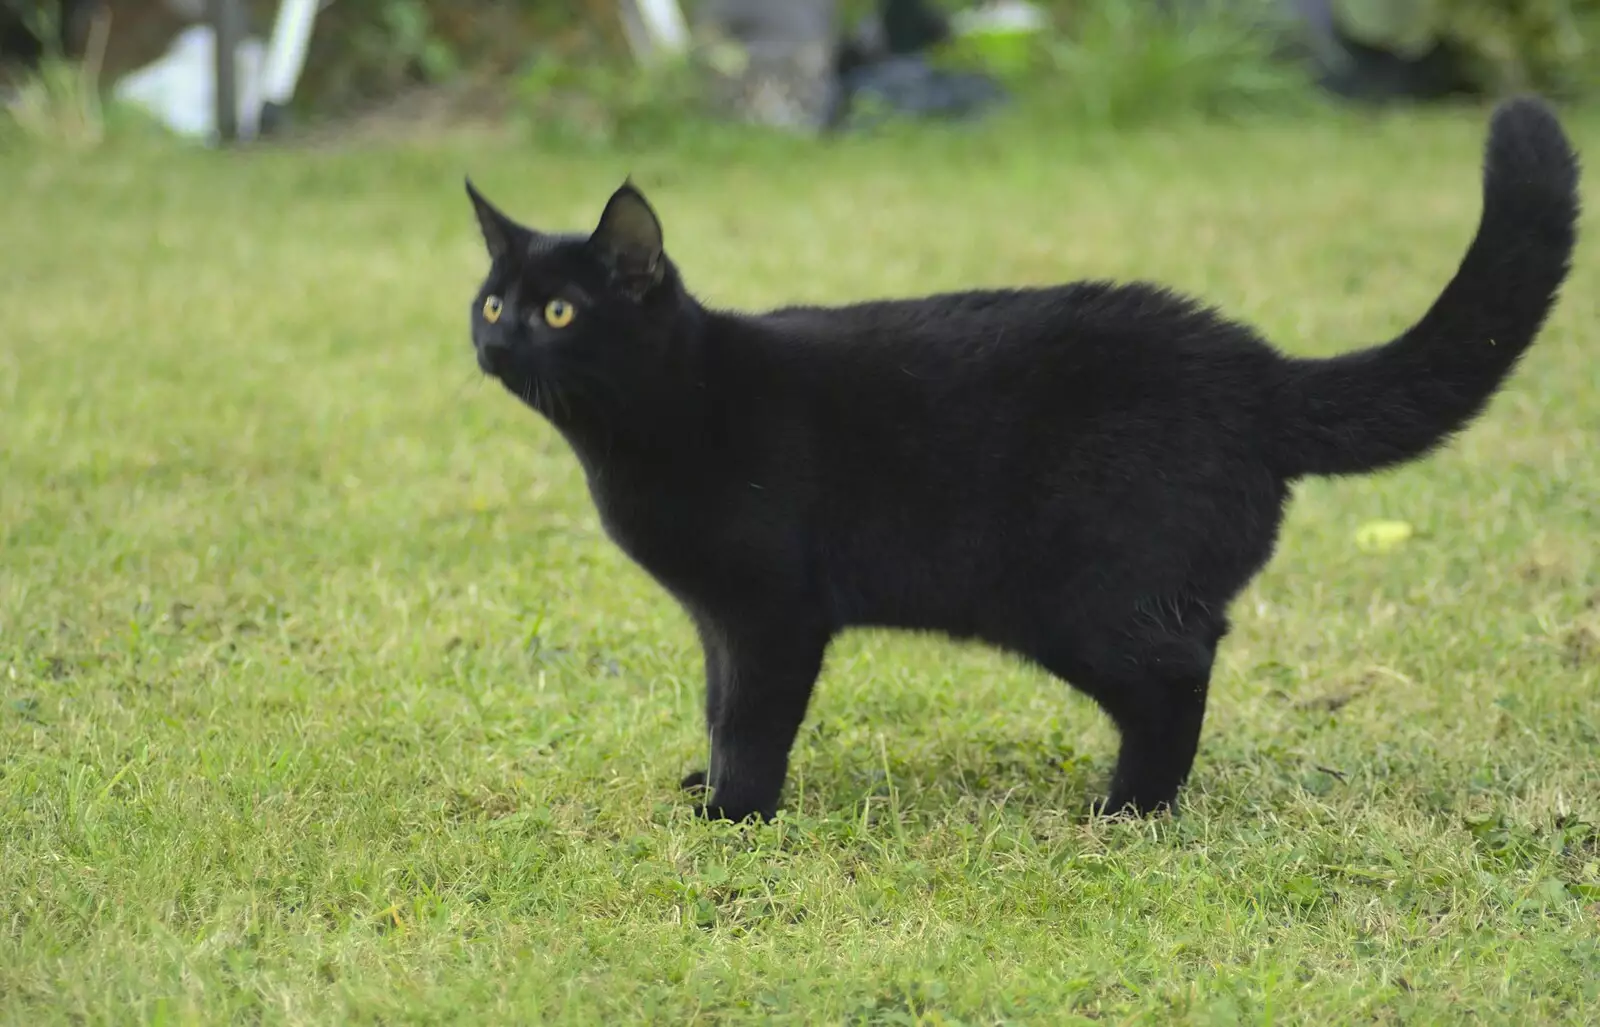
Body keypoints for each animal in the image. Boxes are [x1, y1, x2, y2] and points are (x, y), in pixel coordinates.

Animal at [467, 95, 1580, 815]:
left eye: (559, 311)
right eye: (490, 300)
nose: (494, 340)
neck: (653, 415)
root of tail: (1256, 371)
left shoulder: (771, 612)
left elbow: (751, 718)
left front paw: (732, 812)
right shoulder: (716, 622)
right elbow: (714, 703)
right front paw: (705, 781)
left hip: (1082, 599)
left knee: (1179, 672)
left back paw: (1131, 810)